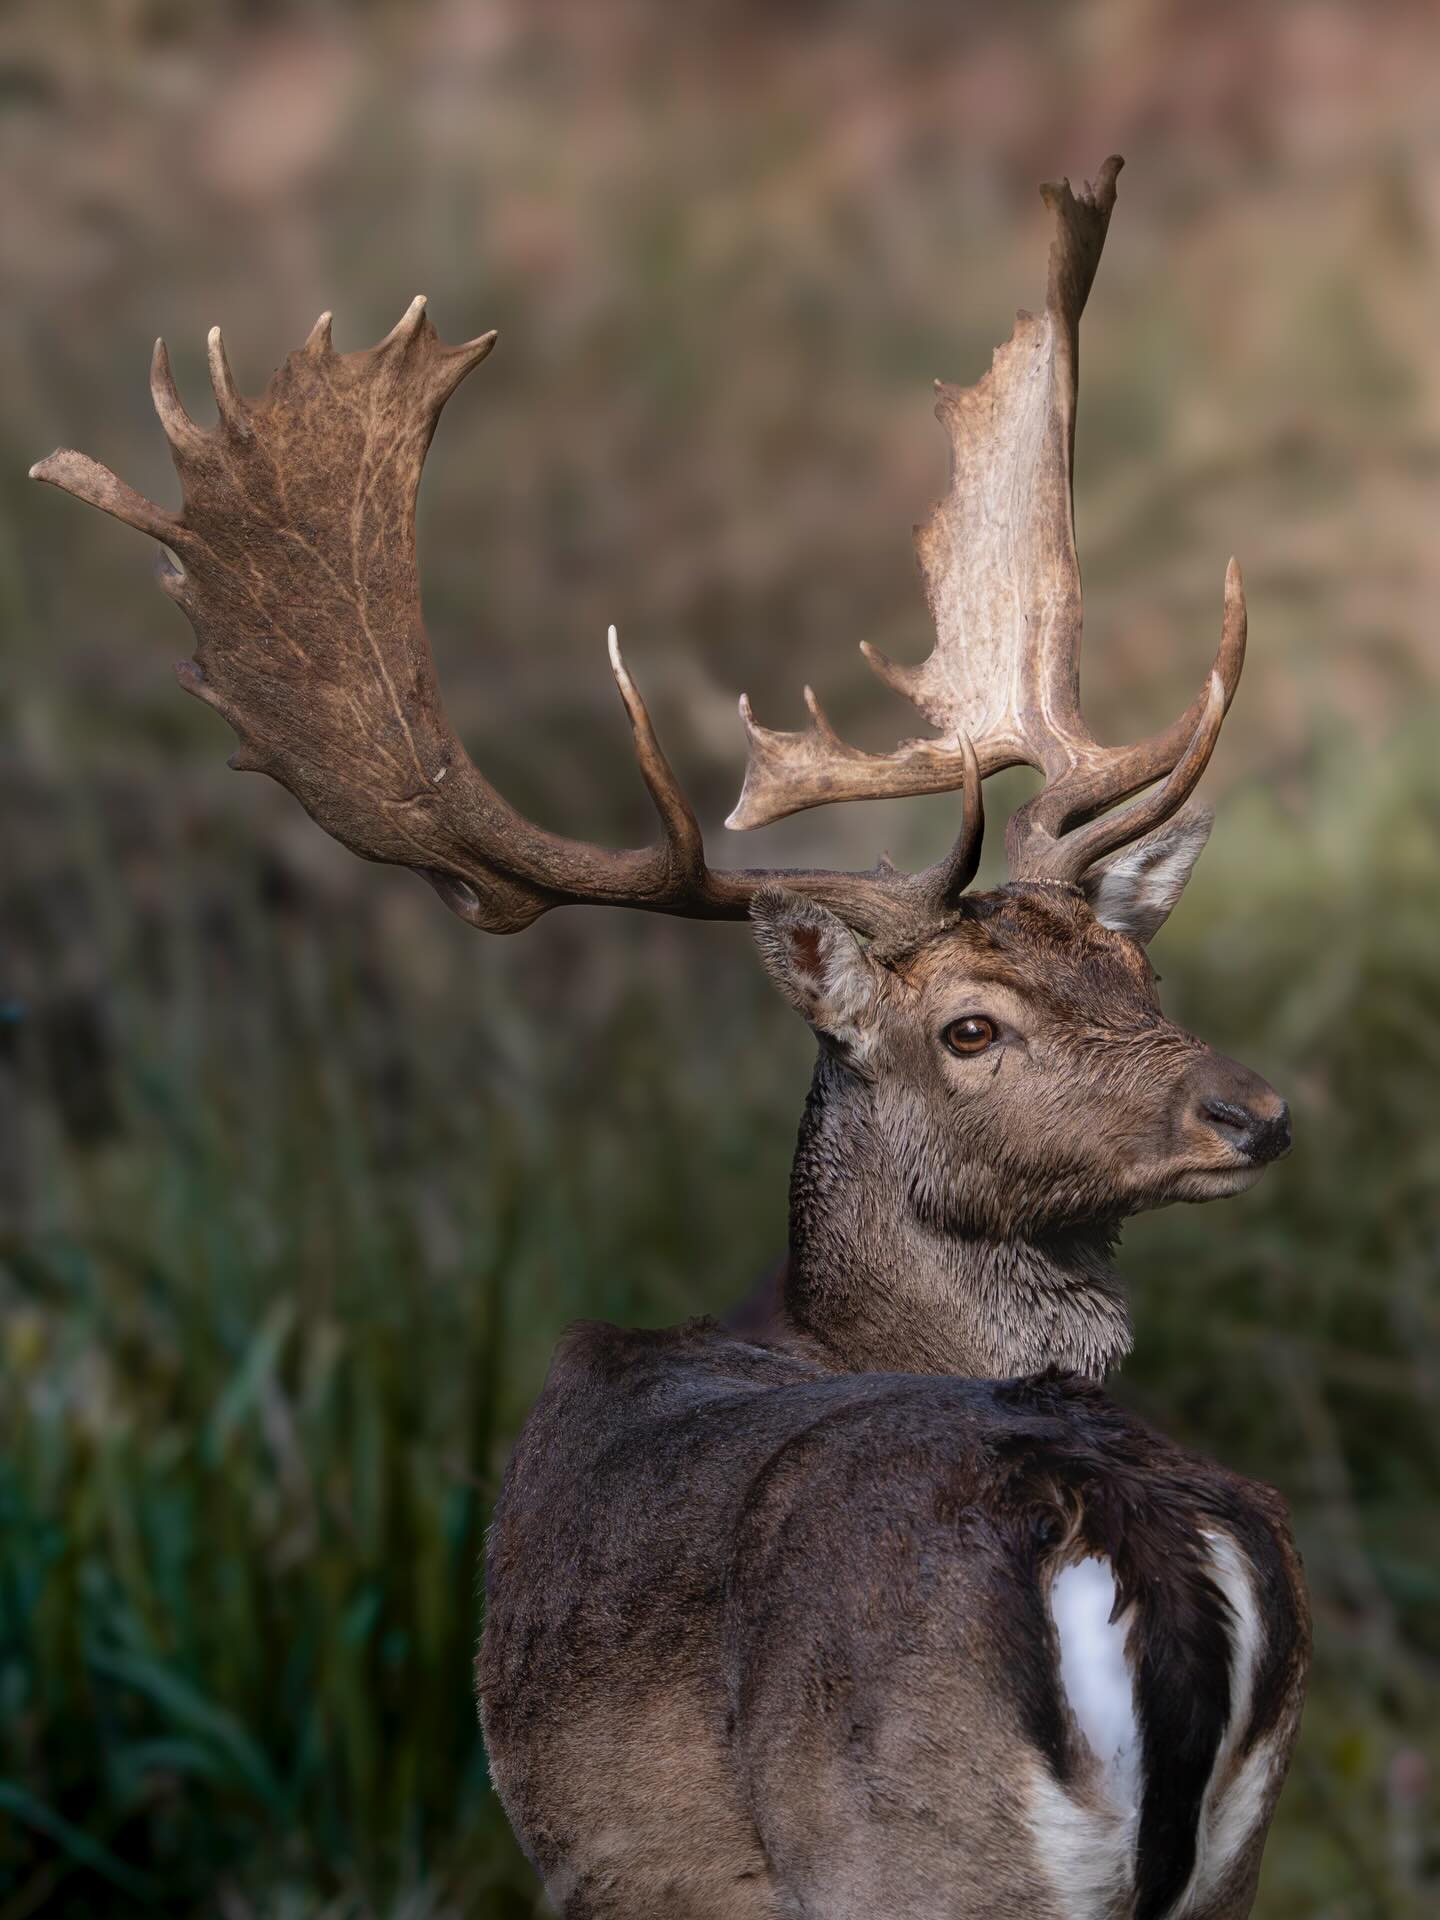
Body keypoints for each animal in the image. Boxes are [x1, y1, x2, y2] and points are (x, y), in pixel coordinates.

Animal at [31, 155, 1308, 1919]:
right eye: (974, 1026)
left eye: (1136, 973)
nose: (1252, 1111)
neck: (810, 1325)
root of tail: (1149, 1559)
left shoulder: (602, 1863)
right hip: (1227, 1860)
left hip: (905, 1860)